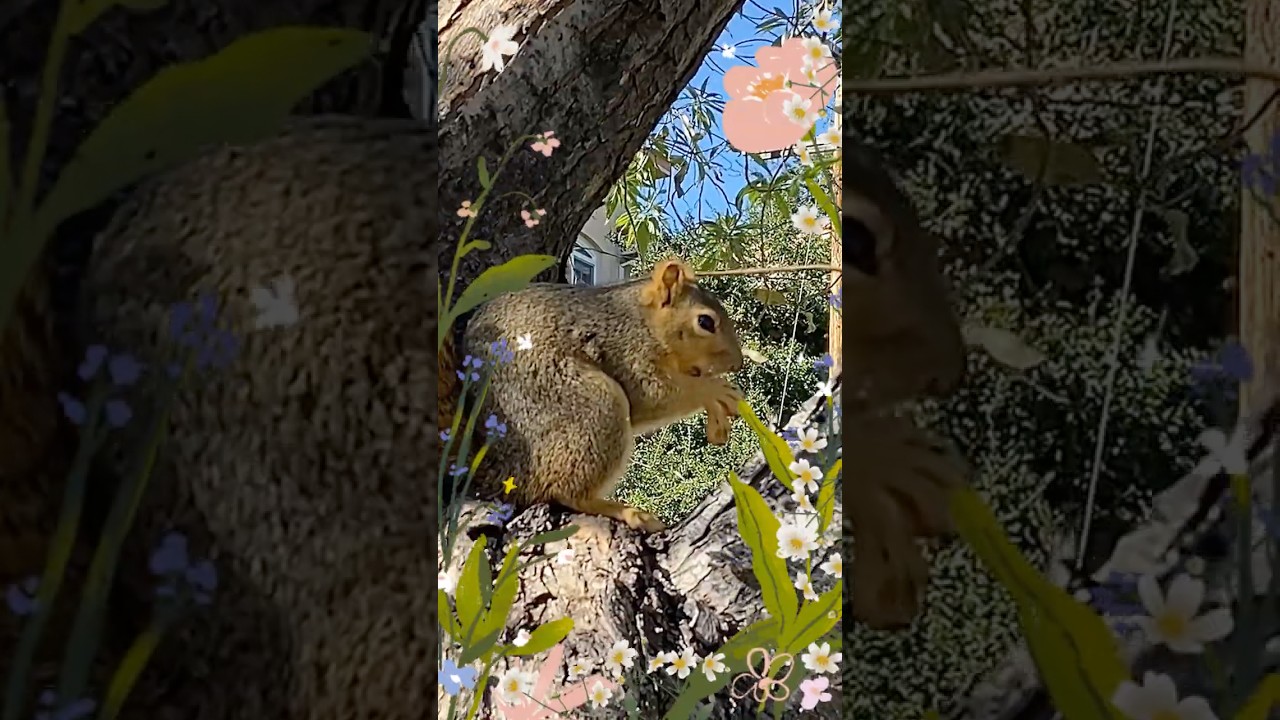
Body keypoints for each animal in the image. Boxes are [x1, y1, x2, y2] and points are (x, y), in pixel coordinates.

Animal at [439, 257, 745, 532]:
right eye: (705, 322)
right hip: (595, 408)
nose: (737, 364)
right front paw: (716, 390)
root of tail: (505, 470)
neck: (644, 321)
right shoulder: (628, 353)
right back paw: (627, 512)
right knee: (566, 492)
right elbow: (655, 394)